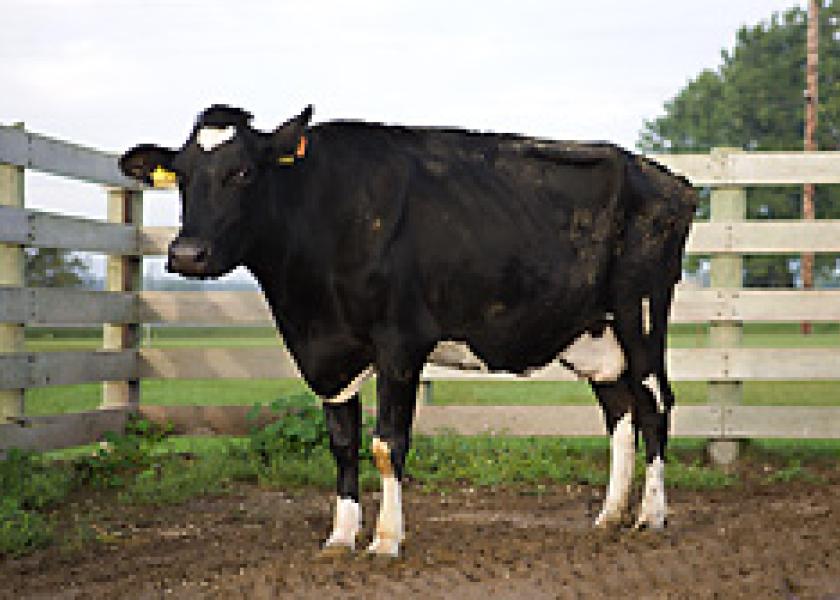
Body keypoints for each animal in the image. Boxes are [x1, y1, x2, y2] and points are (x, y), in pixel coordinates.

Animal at [118, 103, 696, 556]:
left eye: (242, 172)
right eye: (182, 175)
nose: (186, 254)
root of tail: (671, 181)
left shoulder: (400, 343)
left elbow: (386, 443)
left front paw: (386, 539)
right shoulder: (327, 352)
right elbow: (342, 442)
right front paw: (340, 537)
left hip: (641, 310)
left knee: (655, 403)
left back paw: (651, 516)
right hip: (595, 333)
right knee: (620, 411)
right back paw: (609, 517)